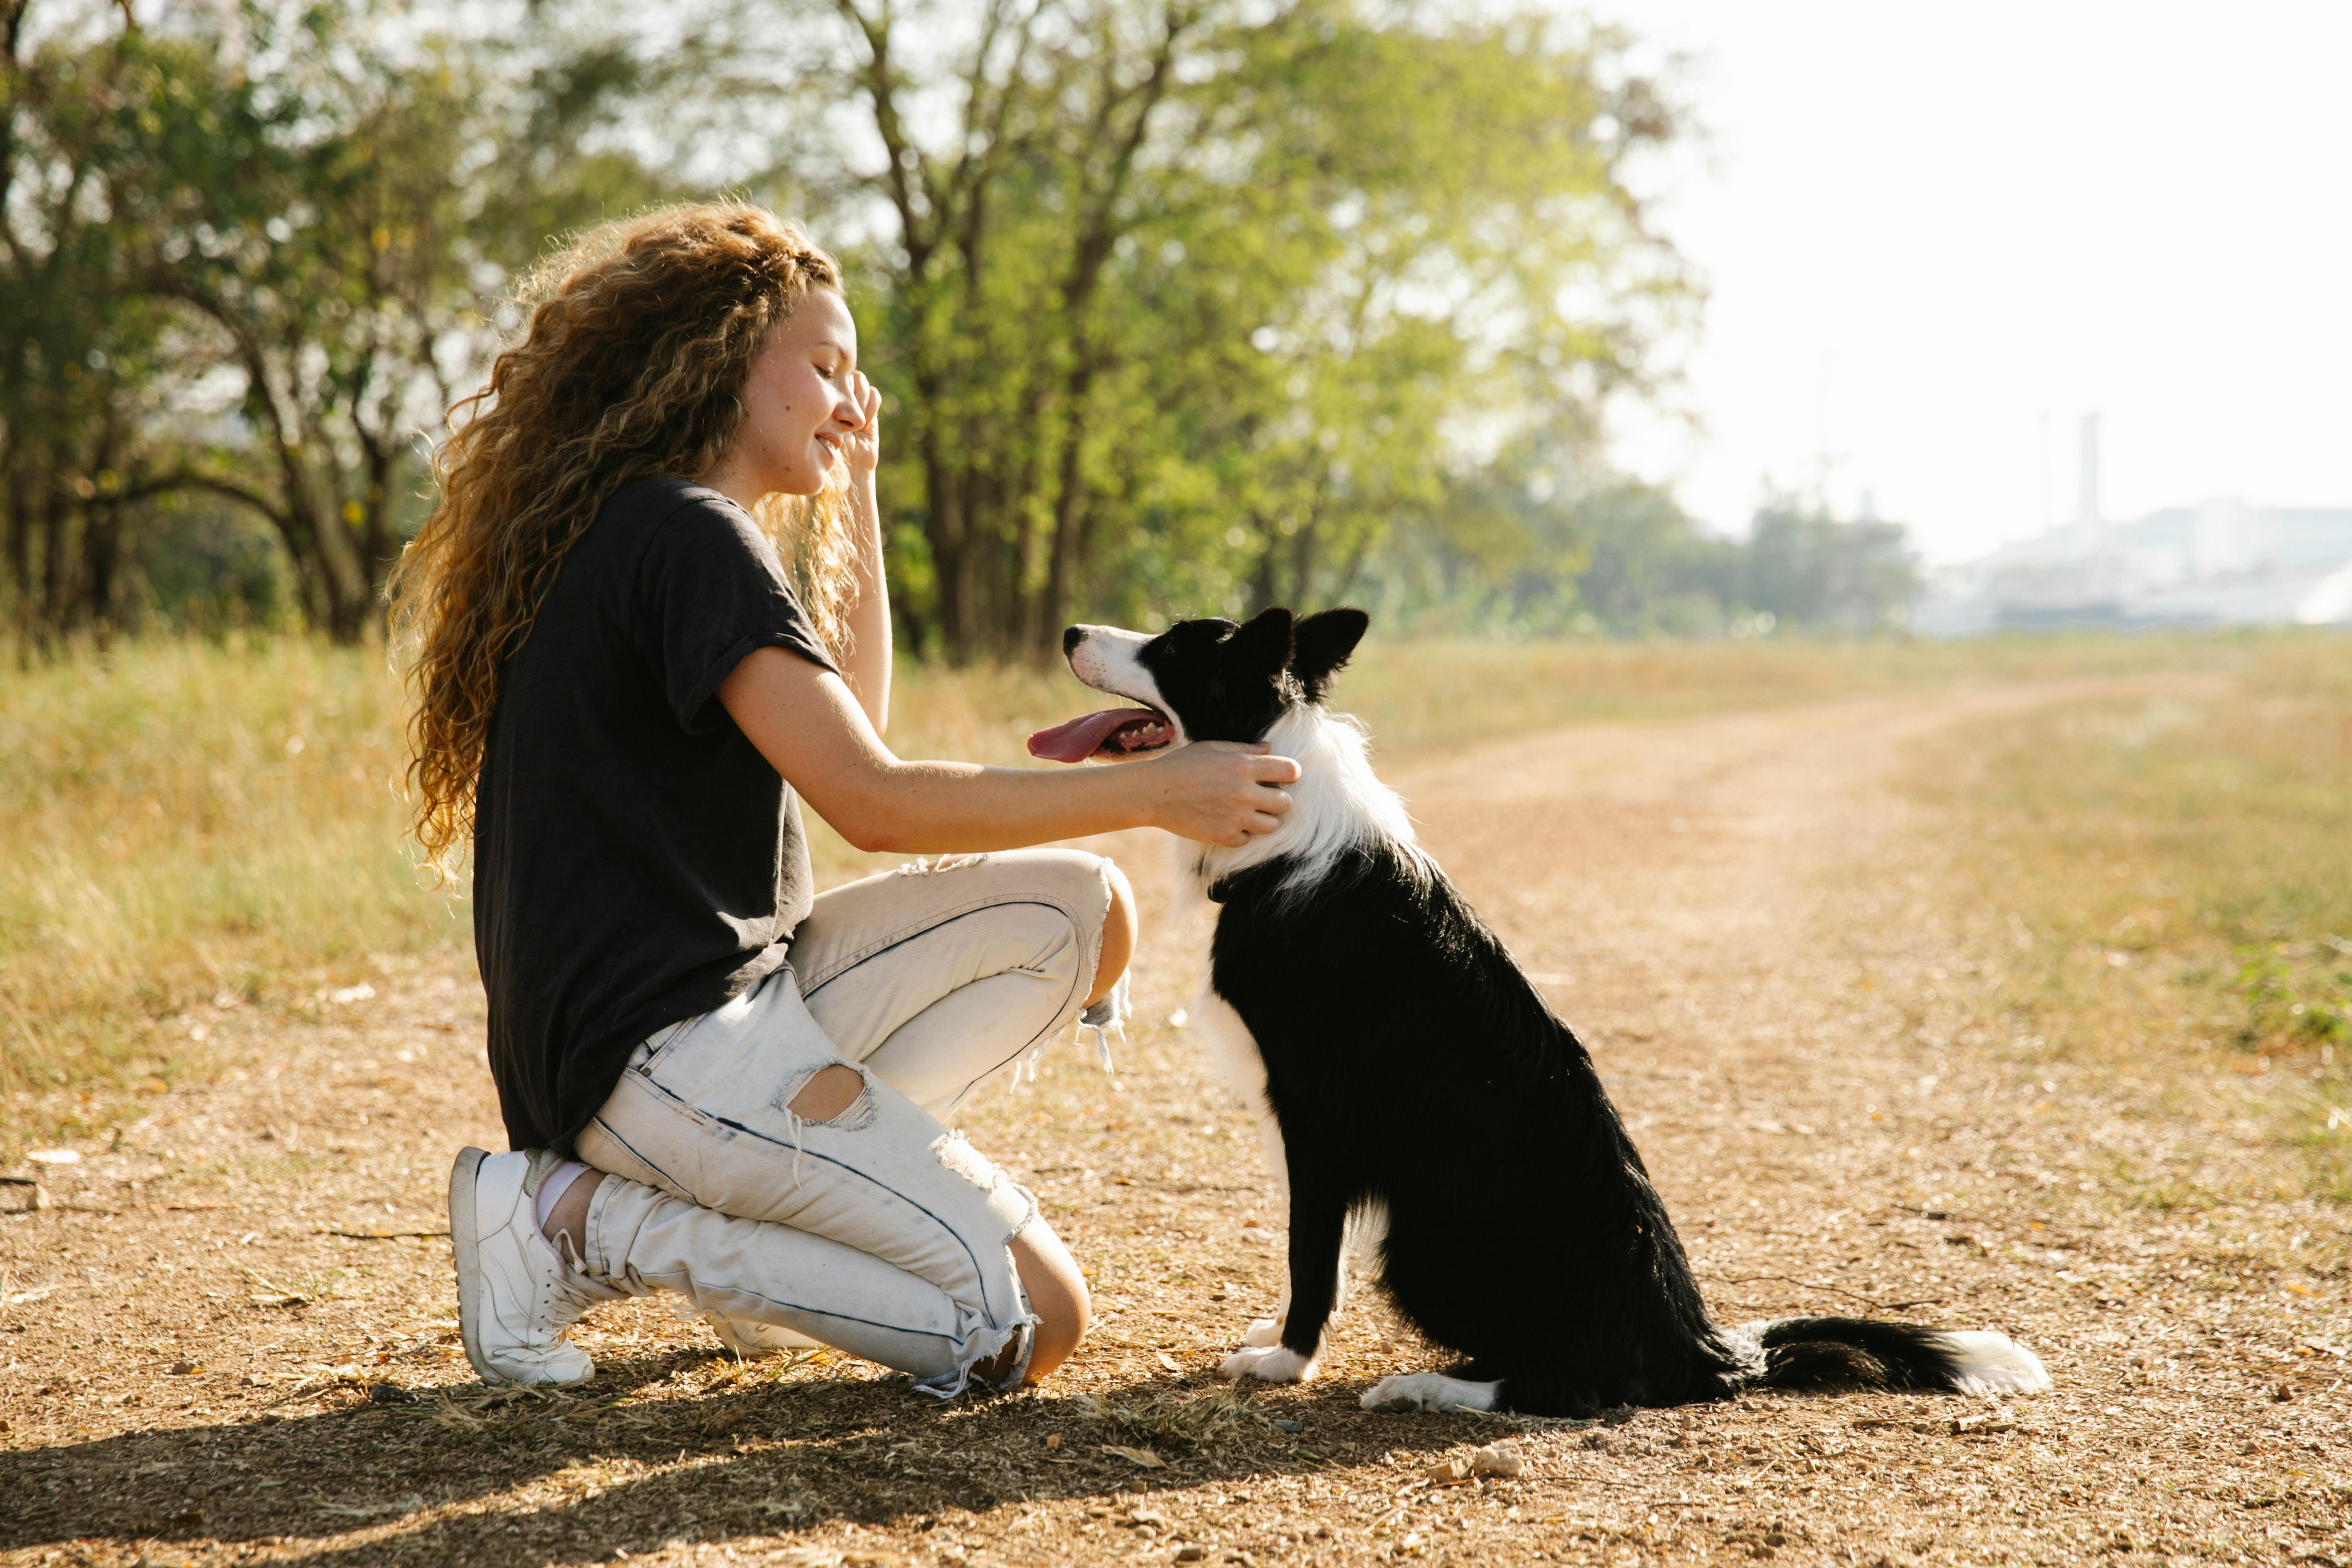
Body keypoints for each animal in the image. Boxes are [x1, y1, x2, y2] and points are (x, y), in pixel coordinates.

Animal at [1039, 606, 2051, 1420]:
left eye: (1174, 646)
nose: (1071, 630)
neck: (1283, 807)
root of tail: (1702, 1350)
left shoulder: (1317, 1120)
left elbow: (1308, 1256)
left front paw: (1285, 1361)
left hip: (1420, 1244)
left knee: (1560, 1387)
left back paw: (1423, 1385)